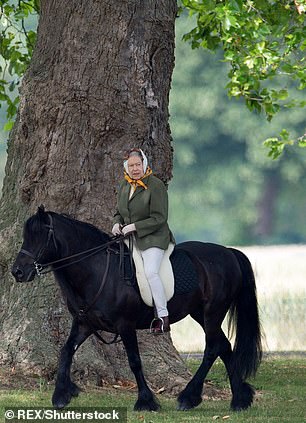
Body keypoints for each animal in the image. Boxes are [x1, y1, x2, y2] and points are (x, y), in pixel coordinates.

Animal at [10, 209, 262, 414]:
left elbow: (134, 361)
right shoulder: (84, 324)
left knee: (212, 349)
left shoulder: (125, 325)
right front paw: (61, 395)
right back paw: (240, 399)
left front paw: (146, 401)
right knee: (224, 346)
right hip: (201, 314)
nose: (17, 272)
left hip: (212, 313)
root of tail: (228, 252)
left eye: (40, 236)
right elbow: (65, 352)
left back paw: (188, 398)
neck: (98, 271)